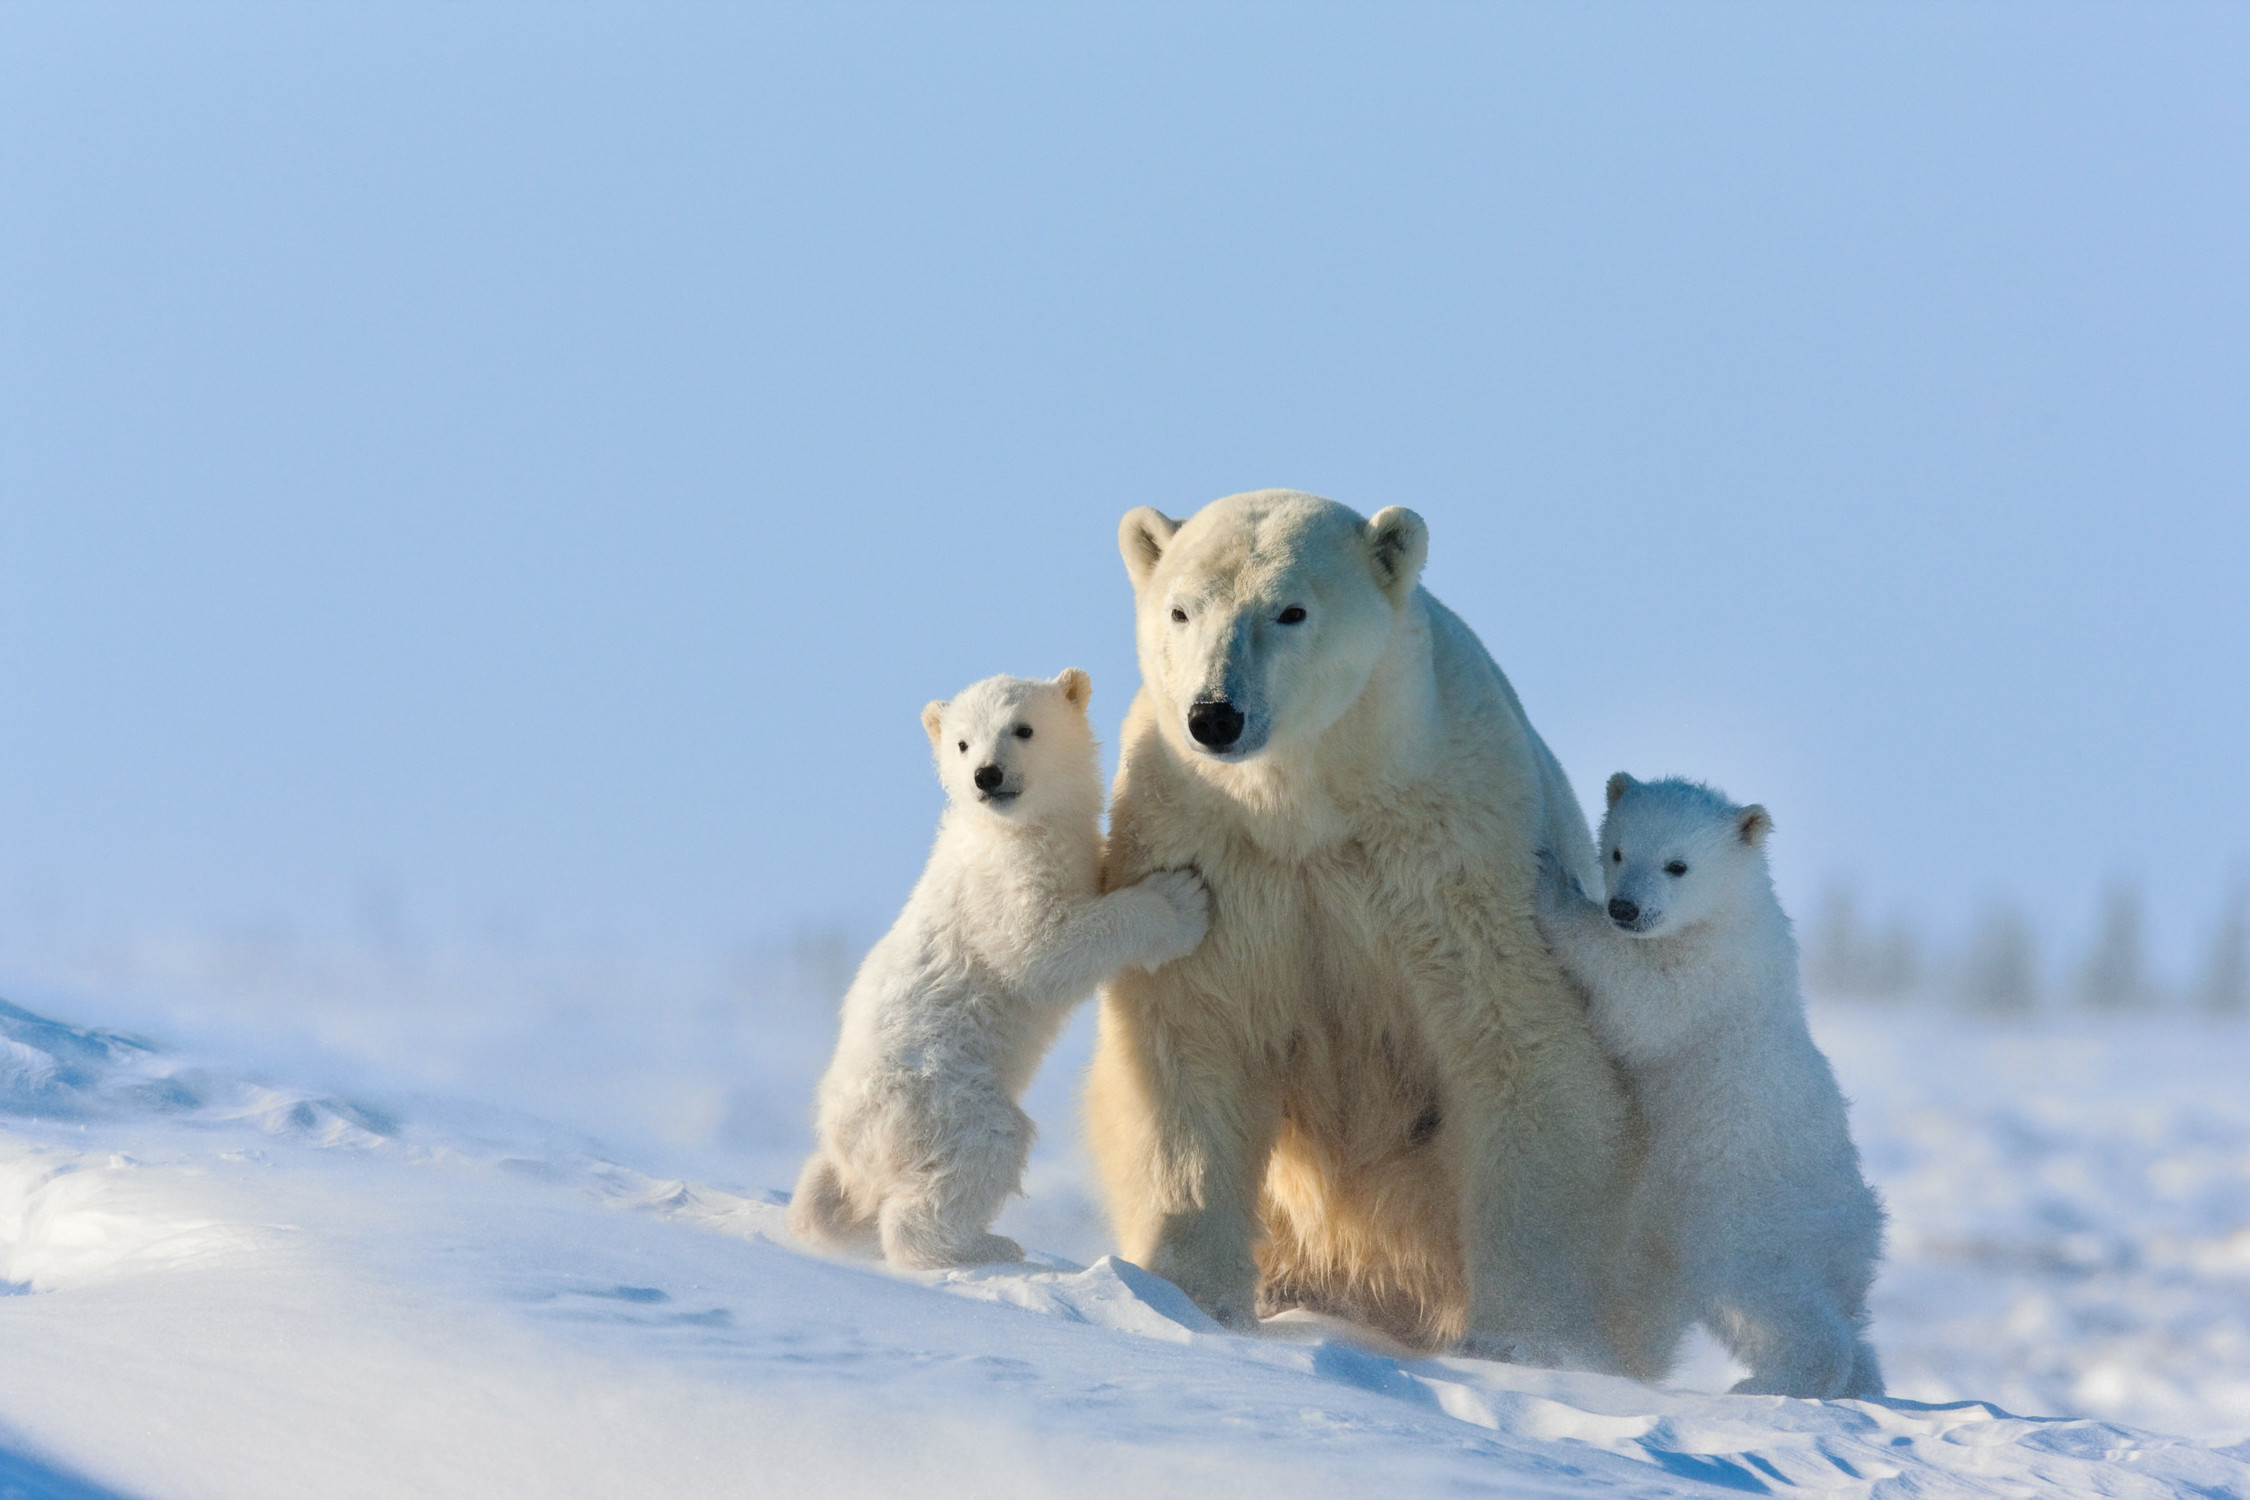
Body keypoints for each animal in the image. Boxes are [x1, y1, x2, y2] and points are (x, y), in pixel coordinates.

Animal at [1084, 488, 1638, 1367]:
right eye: (1181, 609)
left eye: (1290, 610)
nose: (1215, 715)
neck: (1310, 805)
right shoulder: (1209, 852)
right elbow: (1194, 1041)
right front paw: (1187, 1297)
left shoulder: (1453, 857)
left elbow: (1518, 1047)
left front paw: (1524, 1340)